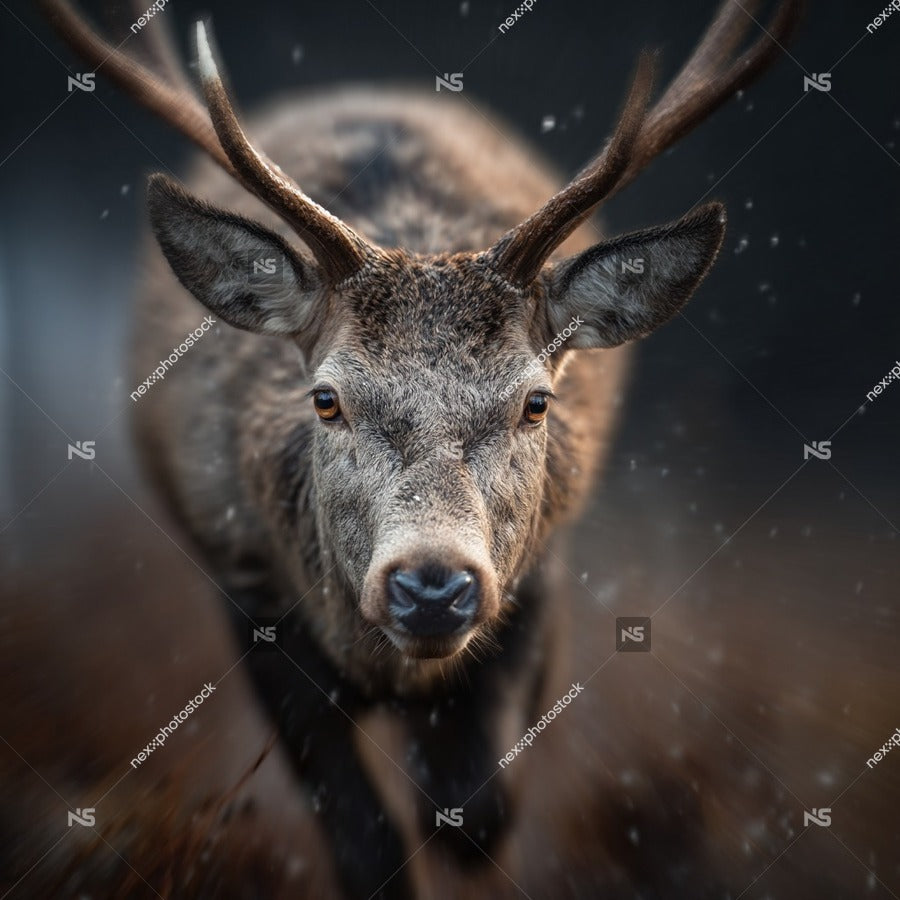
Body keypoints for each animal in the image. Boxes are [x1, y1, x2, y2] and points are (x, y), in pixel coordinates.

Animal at [40, 1, 801, 897]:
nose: (432, 586)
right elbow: (368, 846)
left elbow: (477, 813)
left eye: (536, 402)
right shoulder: (246, 584)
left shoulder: (532, 582)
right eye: (326, 399)